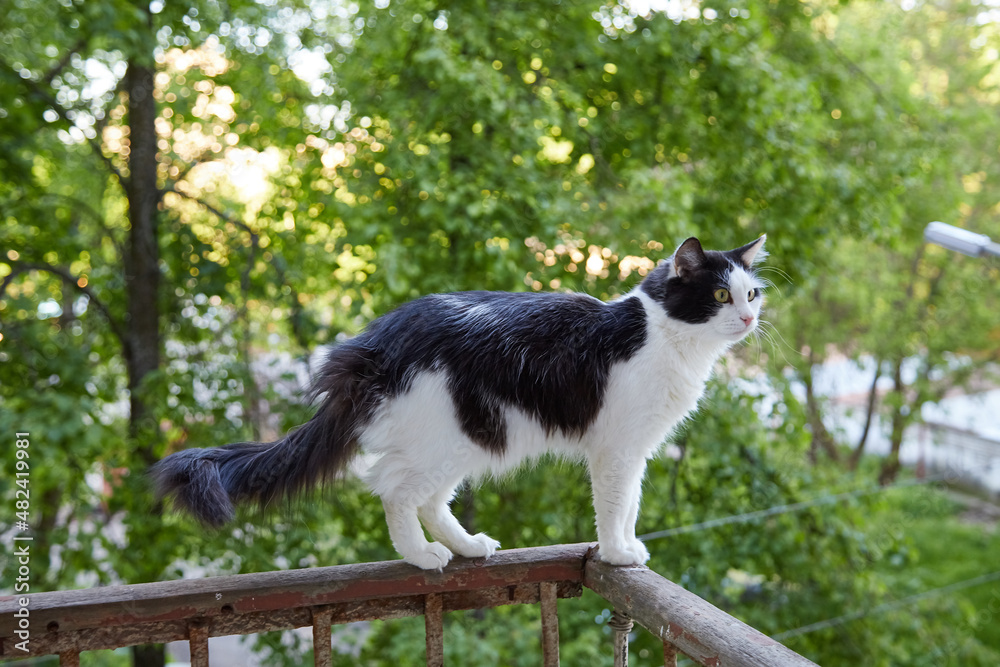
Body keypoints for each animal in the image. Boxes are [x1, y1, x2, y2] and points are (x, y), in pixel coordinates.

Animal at [154, 235, 764, 568]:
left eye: (752, 293)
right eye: (719, 295)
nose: (749, 319)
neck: (663, 336)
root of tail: (376, 341)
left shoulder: (636, 451)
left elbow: (632, 505)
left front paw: (629, 546)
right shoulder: (616, 450)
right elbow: (615, 506)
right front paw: (617, 552)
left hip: (469, 439)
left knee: (428, 501)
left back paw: (467, 547)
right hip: (444, 439)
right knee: (396, 493)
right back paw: (421, 556)